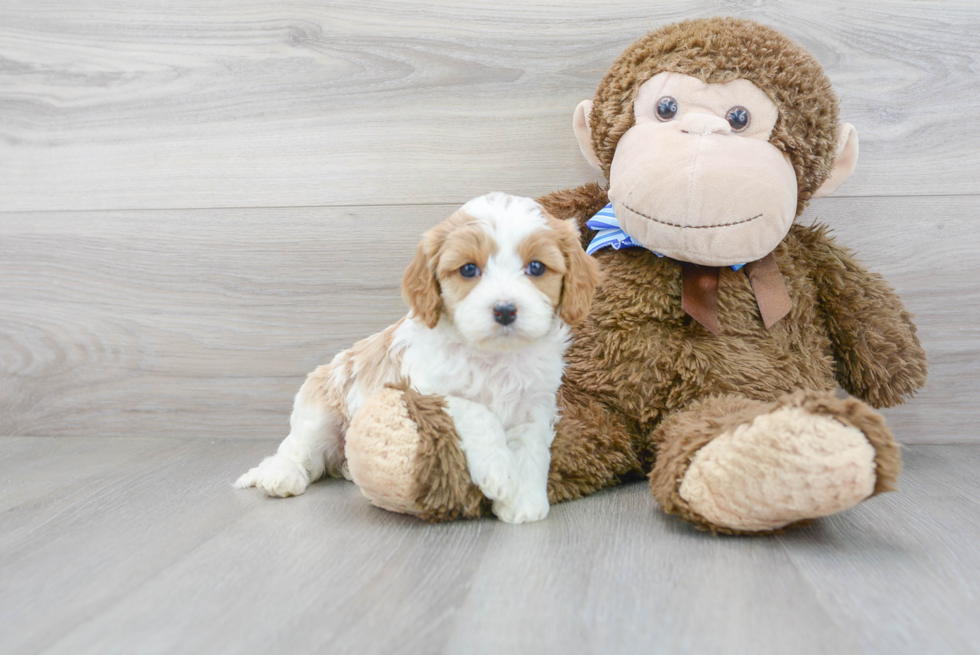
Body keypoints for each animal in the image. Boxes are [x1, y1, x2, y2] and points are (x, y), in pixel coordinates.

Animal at [241, 192, 600, 524]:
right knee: (297, 449)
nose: (505, 310)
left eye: (536, 267)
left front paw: (523, 500)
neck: (493, 357)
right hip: (318, 411)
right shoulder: (424, 390)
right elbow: (477, 412)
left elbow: (531, 448)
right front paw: (499, 473)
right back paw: (280, 475)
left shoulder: (535, 405)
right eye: (468, 269)